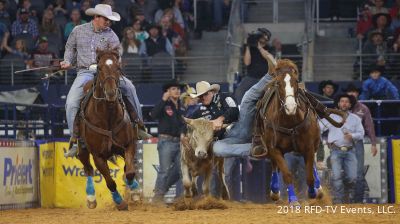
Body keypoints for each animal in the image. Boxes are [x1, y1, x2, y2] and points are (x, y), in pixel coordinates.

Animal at [77, 47, 138, 210]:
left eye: (118, 67)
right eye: (99, 67)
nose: (111, 93)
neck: (108, 116)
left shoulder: (129, 145)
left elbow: (129, 171)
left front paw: (133, 188)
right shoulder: (98, 156)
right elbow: (110, 182)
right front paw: (119, 202)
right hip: (82, 148)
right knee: (88, 169)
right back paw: (91, 198)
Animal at [256, 58, 346, 206]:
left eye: (296, 81)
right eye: (278, 83)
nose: (291, 107)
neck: (290, 120)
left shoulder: (308, 147)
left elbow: (309, 175)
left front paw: (313, 192)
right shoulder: (274, 148)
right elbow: (287, 174)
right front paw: (293, 201)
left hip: (313, 144)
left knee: (313, 166)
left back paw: (318, 190)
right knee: (275, 166)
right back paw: (275, 192)